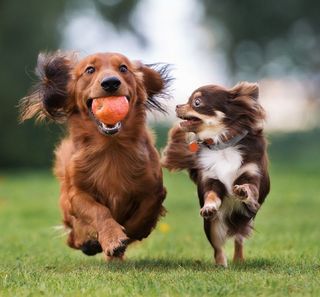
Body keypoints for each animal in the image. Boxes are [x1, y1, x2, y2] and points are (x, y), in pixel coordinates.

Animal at [20, 52, 171, 258]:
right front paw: (112, 238)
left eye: (123, 68)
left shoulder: (154, 190)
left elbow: (143, 214)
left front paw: (128, 234)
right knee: (72, 237)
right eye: (89, 70)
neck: (111, 148)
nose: (110, 83)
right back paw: (88, 242)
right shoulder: (76, 194)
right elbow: (98, 211)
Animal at [162, 81, 270, 266]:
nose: (177, 106)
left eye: (196, 102)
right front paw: (209, 207)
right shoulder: (210, 180)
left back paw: (239, 260)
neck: (222, 145)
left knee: (239, 239)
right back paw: (221, 265)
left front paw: (243, 190)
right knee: (218, 248)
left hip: (245, 219)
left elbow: (250, 188)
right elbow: (211, 195)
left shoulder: (252, 175)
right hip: (212, 226)